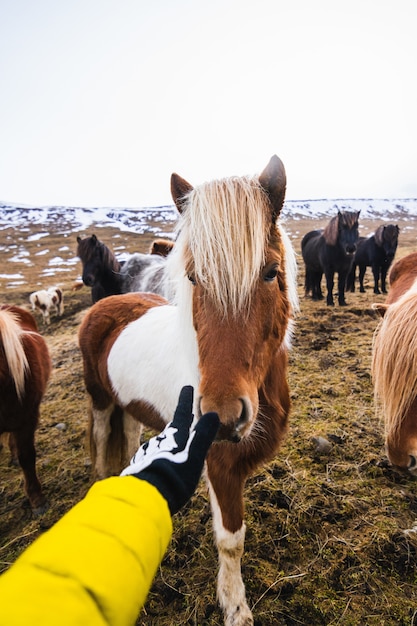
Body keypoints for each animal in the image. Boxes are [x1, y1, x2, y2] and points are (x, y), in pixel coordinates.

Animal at [78, 156, 298, 624]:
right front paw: (235, 607)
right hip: (100, 400)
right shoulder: (220, 466)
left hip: (129, 406)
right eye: (194, 277)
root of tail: (104, 303)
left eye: (271, 272)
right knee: (103, 437)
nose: (222, 415)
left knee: (128, 435)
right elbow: (231, 539)